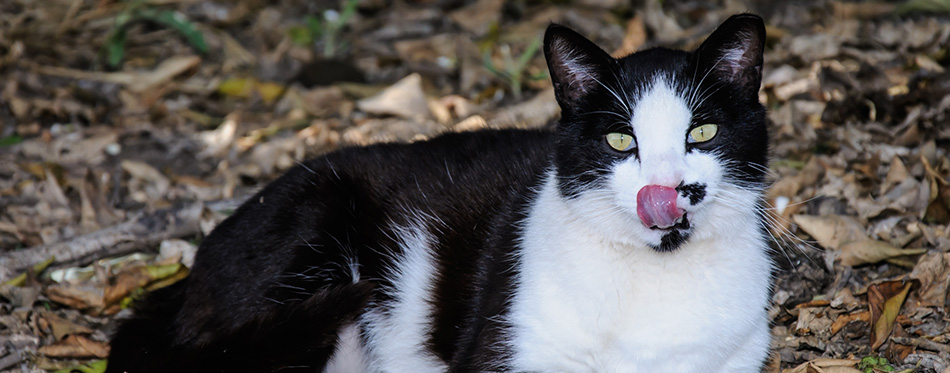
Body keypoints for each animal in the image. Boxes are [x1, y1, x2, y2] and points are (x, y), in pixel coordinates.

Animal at [106, 12, 772, 372]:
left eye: (703, 132)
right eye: (619, 141)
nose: (666, 190)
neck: (650, 285)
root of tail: (181, 285)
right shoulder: (506, 347)